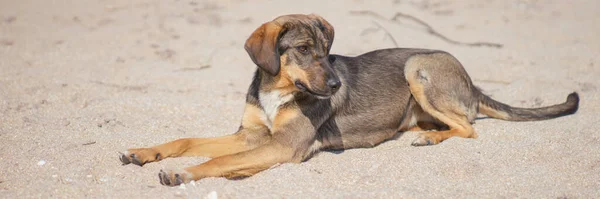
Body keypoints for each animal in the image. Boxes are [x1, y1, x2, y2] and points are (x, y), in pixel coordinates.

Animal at [119, 13, 580, 185]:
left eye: (327, 51)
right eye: (303, 49)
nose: (337, 85)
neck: (278, 90)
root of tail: (472, 82)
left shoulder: (280, 147)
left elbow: (219, 160)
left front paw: (183, 173)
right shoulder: (250, 135)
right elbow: (187, 140)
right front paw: (144, 152)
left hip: (418, 66)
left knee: (467, 128)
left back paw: (430, 137)